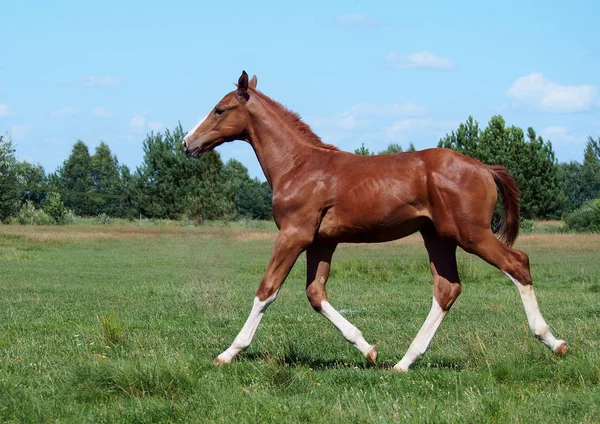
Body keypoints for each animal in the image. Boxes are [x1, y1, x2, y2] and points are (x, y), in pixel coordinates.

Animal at [183, 71, 568, 370]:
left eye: (219, 109)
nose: (188, 143)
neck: (299, 165)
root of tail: (485, 167)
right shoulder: (322, 241)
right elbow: (315, 294)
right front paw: (368, 349)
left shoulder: (294, 234)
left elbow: (267, 290)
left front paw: (228, 353)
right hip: (438, 236)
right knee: (447, 289)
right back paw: (404, 362)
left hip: (470, 233)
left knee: (517, 264)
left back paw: (553, 341)